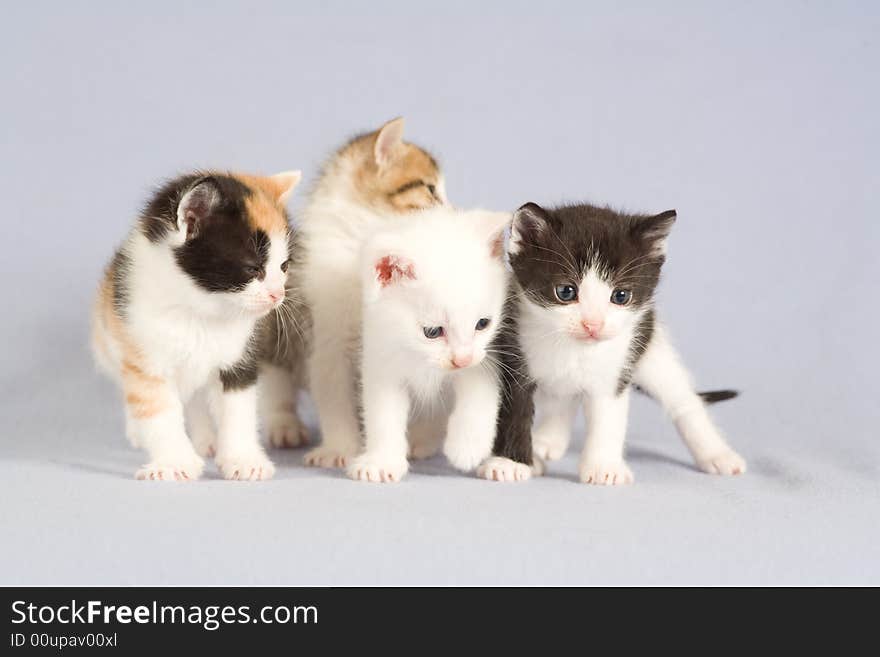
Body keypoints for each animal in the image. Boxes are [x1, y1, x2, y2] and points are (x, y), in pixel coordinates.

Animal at [91, 172, 300, 480]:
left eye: (284, 266)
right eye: (252, 268)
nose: (278, 295)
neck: (201, 309)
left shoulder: (240, 356)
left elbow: (238, 408)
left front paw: (243, 459)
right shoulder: (143, 350)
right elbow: (157, 409)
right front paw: (174, 462)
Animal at [286, 116, 446, 466]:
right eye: (430, 189)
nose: (452, 209)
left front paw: (420, 439)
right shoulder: (326, 337)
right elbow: (333, 394)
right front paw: (339, 449)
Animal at [484, 200, 744, 482]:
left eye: (620, 296)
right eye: (565, 291)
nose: (593, 325)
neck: (572, 349)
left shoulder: (617, 366)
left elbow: (607, 418)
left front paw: (603, 468)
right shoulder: (513, 353)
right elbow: (515, 411)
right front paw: (510, 463)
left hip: (649, 345)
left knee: (682, 400)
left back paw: (718, 455)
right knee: (562, 399)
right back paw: (546, 443)